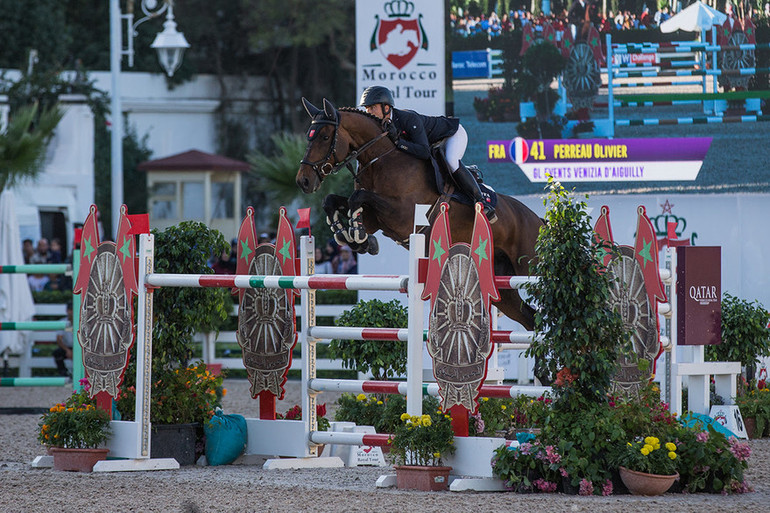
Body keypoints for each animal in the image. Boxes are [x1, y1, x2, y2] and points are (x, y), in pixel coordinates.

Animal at [292, 97, 540, 332]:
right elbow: (333, 201)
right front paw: (352, 237)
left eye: (325, 137)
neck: (380, 159)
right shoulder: (375, 218)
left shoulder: (402, 215)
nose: (303, 181)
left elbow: (357, 198)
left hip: (529, 267)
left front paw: (358, 235)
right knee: (530, 318)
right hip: (502, 287)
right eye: (308, 137)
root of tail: (539, 220)